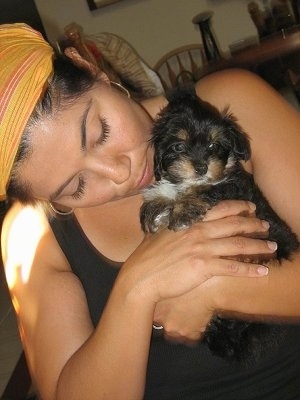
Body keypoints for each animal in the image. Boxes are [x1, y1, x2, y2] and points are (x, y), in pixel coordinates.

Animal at [139, 87, 298, 362]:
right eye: (179, 146)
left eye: (214, 145)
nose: (201, 167)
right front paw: (155, 207)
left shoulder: (231, 188)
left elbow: (205, 190)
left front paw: (183, 210)